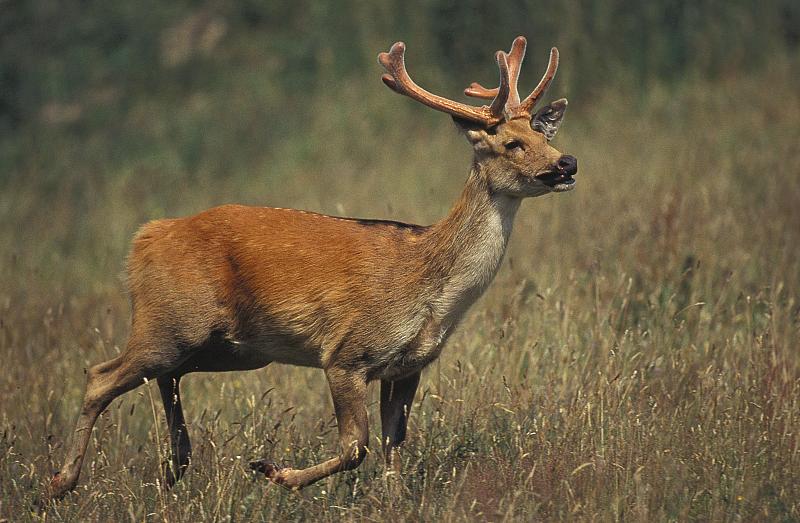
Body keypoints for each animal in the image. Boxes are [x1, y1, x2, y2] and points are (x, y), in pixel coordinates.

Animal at [48, 36, 576, 500]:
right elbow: (356, 446)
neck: (429, 286)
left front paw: (391, 500)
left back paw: (173, 467)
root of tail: (144, 238)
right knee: (100, 375)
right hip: (169, 320)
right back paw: (60, 483)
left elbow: (393, 449)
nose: (567, 163)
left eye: (543, 134)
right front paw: (273, 471)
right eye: (510, 143)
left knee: (164, 378)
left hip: (227, 346)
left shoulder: (408, 368)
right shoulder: (346, 352)